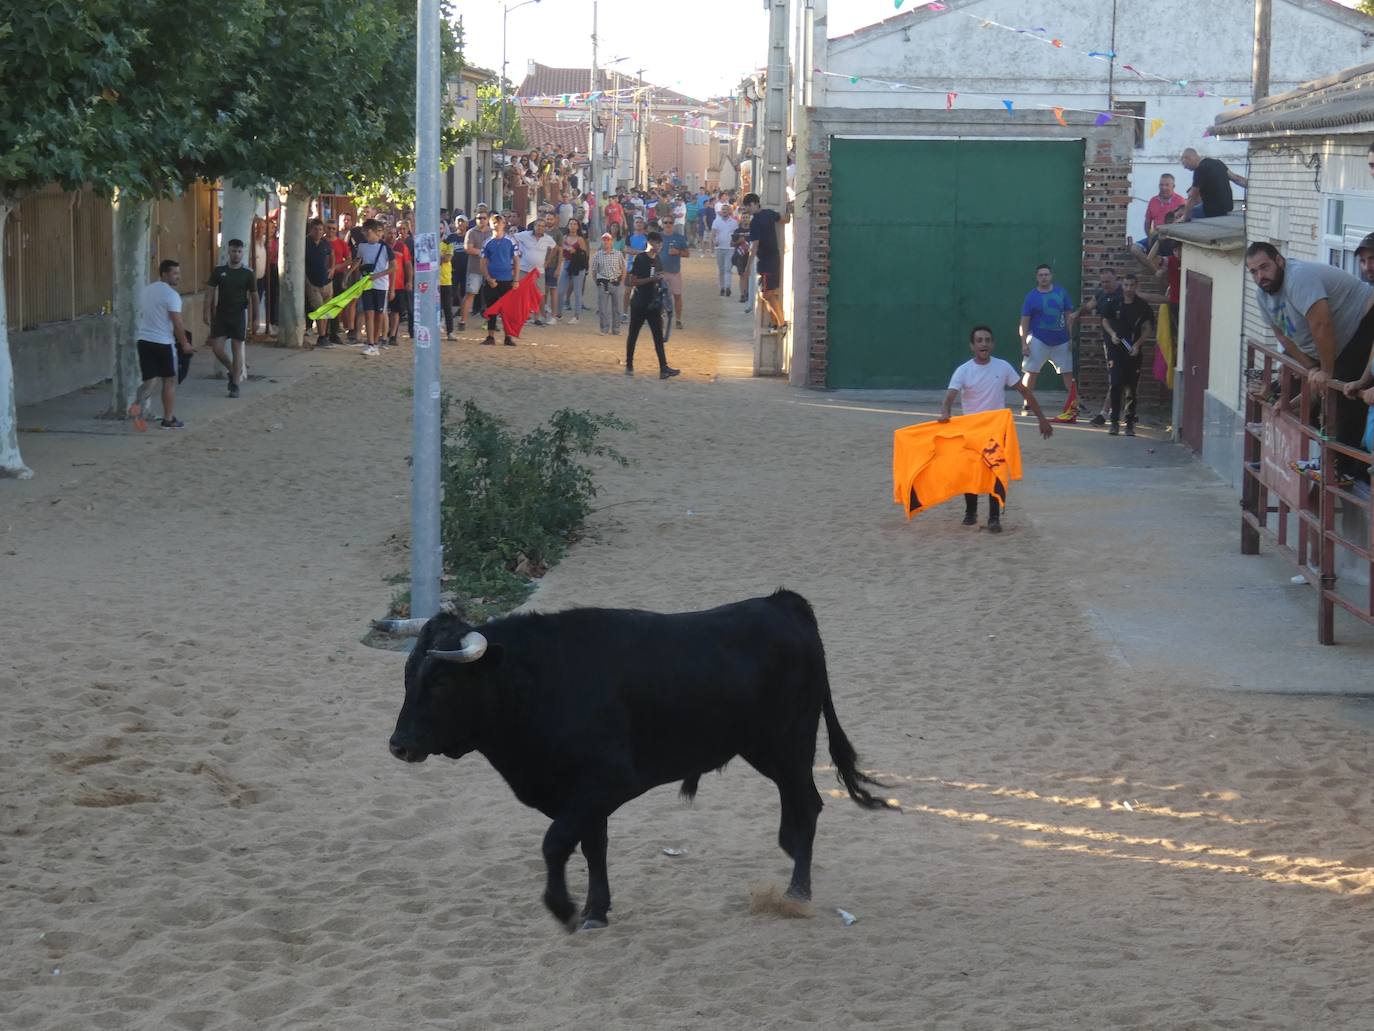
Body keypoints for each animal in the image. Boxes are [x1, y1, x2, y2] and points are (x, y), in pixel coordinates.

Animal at [390, 588, 901, 934]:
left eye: (441, 682)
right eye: (408, 675)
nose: (399, 745)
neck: (538, 679)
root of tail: (782, 604)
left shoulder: (607, 782)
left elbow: (556, 843)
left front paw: (564, 907)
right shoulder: (583, 795)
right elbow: (592, 847)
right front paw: (596, 910)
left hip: (790, 742)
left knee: (808, 804)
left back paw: (797, 892)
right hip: (767, 750)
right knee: (794, 802)